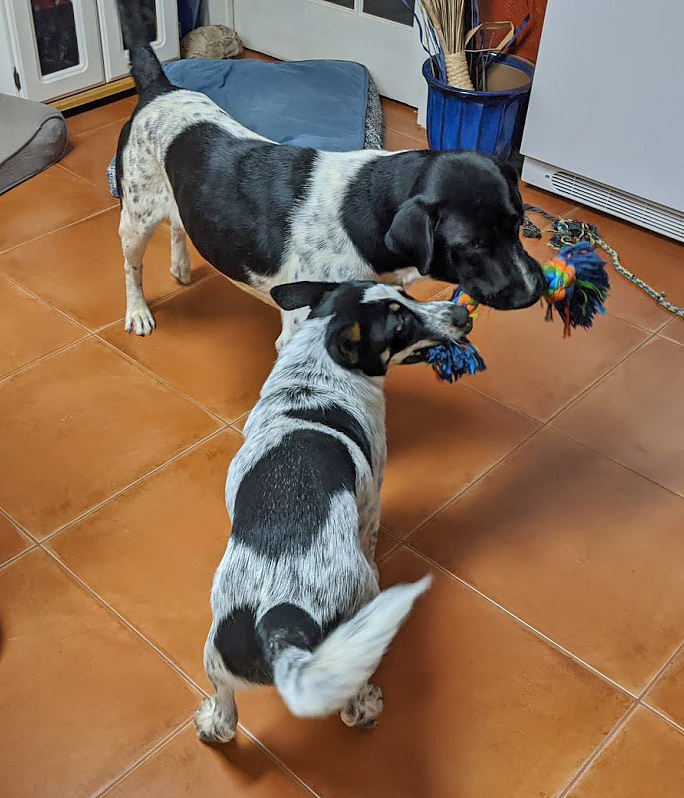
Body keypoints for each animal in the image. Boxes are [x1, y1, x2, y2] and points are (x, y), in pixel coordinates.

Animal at [116, 0, 544, 350]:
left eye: (518, 224)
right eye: (470, 244)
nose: (534, 291)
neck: (362, 210)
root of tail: (161, 88)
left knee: (178, 222)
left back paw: (180, 266)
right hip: (135, 220)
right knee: (132, 268)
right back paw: (137, 311)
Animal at [195, 282, 472, 744]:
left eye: (405, 293)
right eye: (400, 321)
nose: (463, 315)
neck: (315, 376)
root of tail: (281, 620)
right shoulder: (372, 497)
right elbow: (371, 535)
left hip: (216, 653)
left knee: (226, 715)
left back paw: (210, 725)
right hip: (352, 641)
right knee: (350, 709)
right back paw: (369, 706)